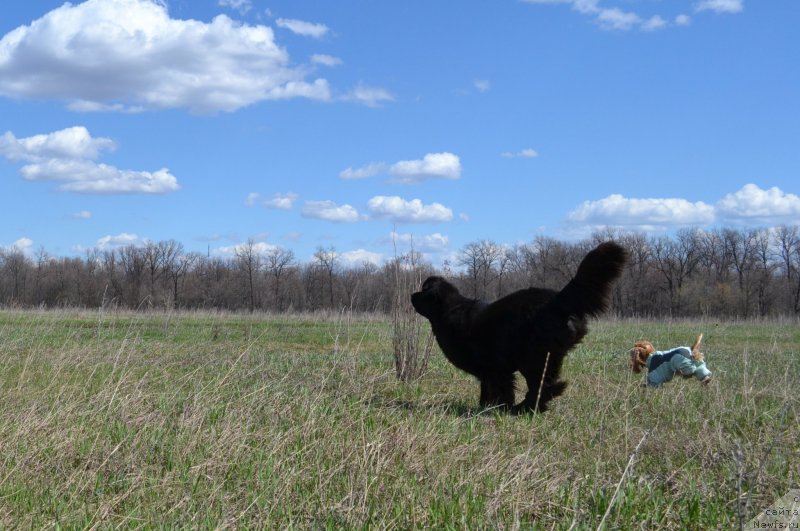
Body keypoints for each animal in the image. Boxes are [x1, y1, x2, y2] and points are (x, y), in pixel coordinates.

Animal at [412, 243, 624, 414]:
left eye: (423, 291)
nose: (412, 294)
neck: (448, 311)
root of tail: (557, 301)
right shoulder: (489, 372)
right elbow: (487, 388)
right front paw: (485, 406)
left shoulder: (496, 367)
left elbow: (501, 388)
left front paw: (500, 407)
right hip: (548, 356)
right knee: (547, 383)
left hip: (532, 357)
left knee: (540, 385)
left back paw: (524, 408)